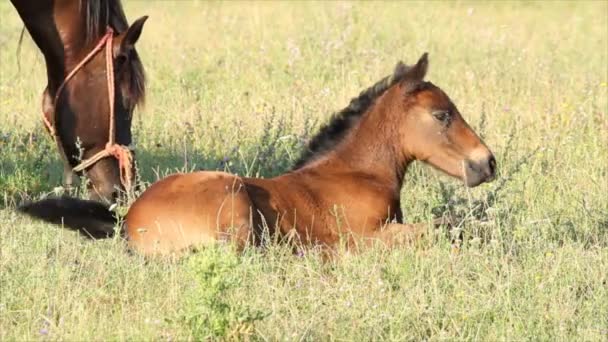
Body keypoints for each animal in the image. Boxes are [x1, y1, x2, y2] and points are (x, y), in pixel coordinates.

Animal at [20, 53, 498, 255]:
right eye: (442, 115)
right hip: (233, 201)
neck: (358, 173)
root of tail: (129, 220)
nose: (487, 163)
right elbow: (448, 229)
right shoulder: (367, 236)